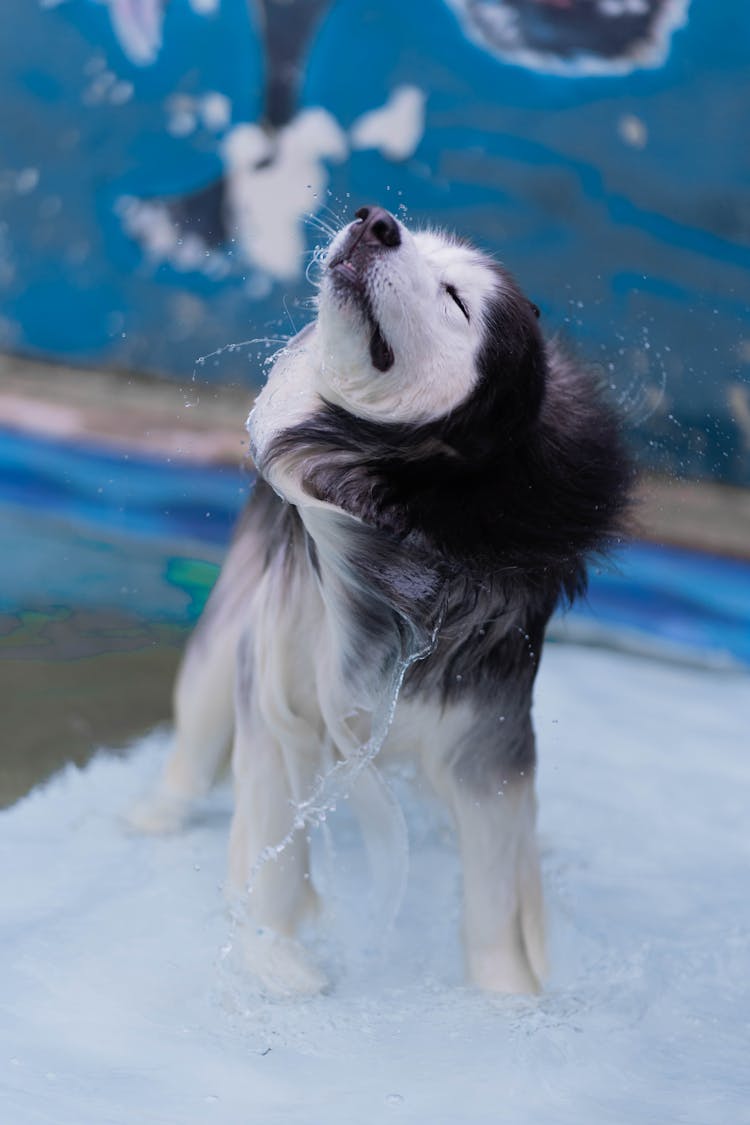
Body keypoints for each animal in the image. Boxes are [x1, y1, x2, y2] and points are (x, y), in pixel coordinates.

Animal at [130, 204, 634, 994]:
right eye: (417, 243)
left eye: (458, 301)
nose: (375, 221)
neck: (407, 519)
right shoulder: (280, 685)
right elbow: (275, 845)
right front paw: (277, 959)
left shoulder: (488, 743)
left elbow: (495, 893)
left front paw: (511, 999)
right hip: (232, 629)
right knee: (197, 726)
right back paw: (158, 813)